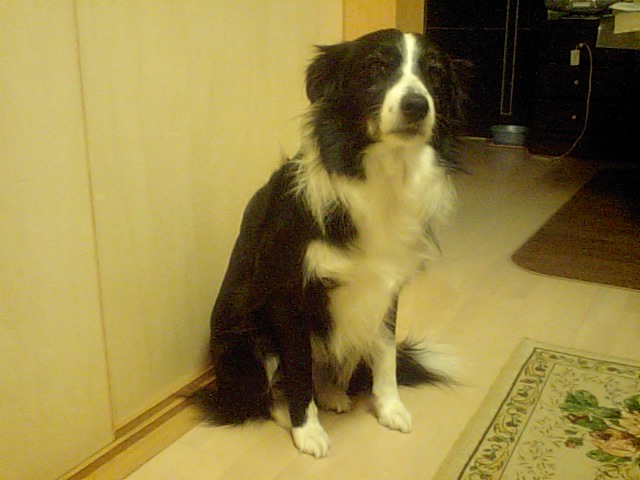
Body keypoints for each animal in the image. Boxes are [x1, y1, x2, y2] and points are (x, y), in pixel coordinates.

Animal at [198, 28, 463, 458]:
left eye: (435, 73)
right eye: (376, 66)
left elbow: (385, 354)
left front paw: (390, 408)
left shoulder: (386, 288)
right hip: (247, 333)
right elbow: (298, 368)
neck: (383, 175)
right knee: (265, 391)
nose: (416, 106)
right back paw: (284, 411)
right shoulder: (289, 296)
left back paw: (334, 395)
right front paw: (306, 429)